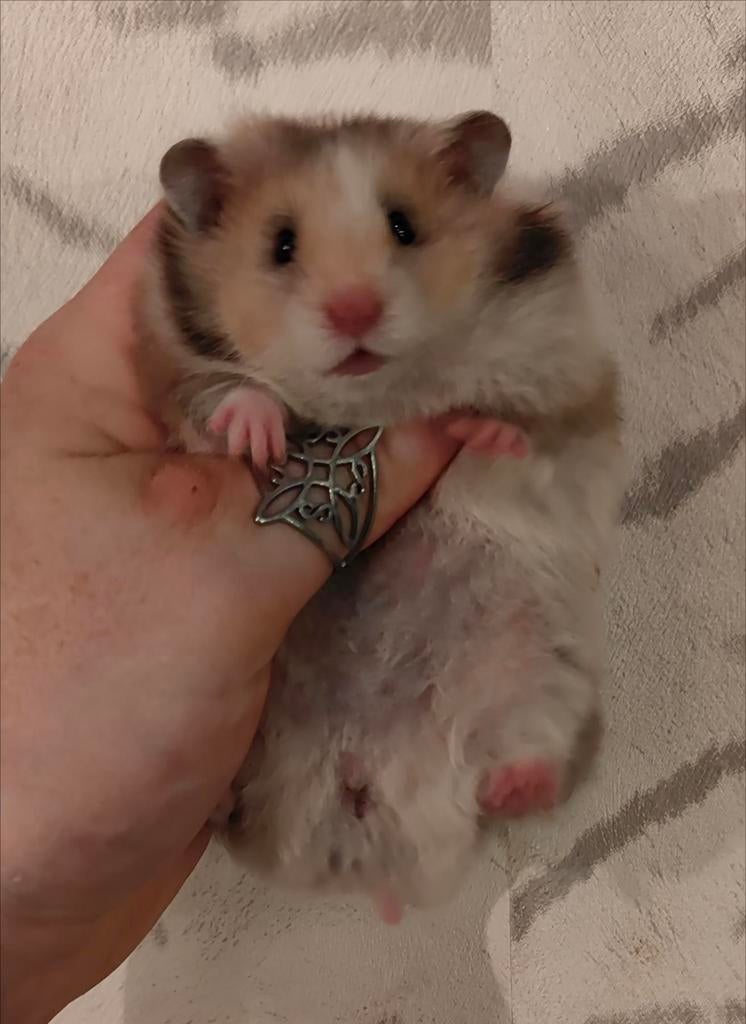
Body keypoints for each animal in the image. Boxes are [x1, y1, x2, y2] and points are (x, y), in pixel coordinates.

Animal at [138, 112, 625, 918]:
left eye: (404, 225)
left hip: (539, 672)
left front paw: (479, 429)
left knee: (517, 772)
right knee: (232, 812)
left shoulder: (565, 376)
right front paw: (258, 433)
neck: (371, 398)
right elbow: (222, 397)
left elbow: (526, 433)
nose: (355, 310)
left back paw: (515, 783)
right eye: (280, 244)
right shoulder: (172, 368)